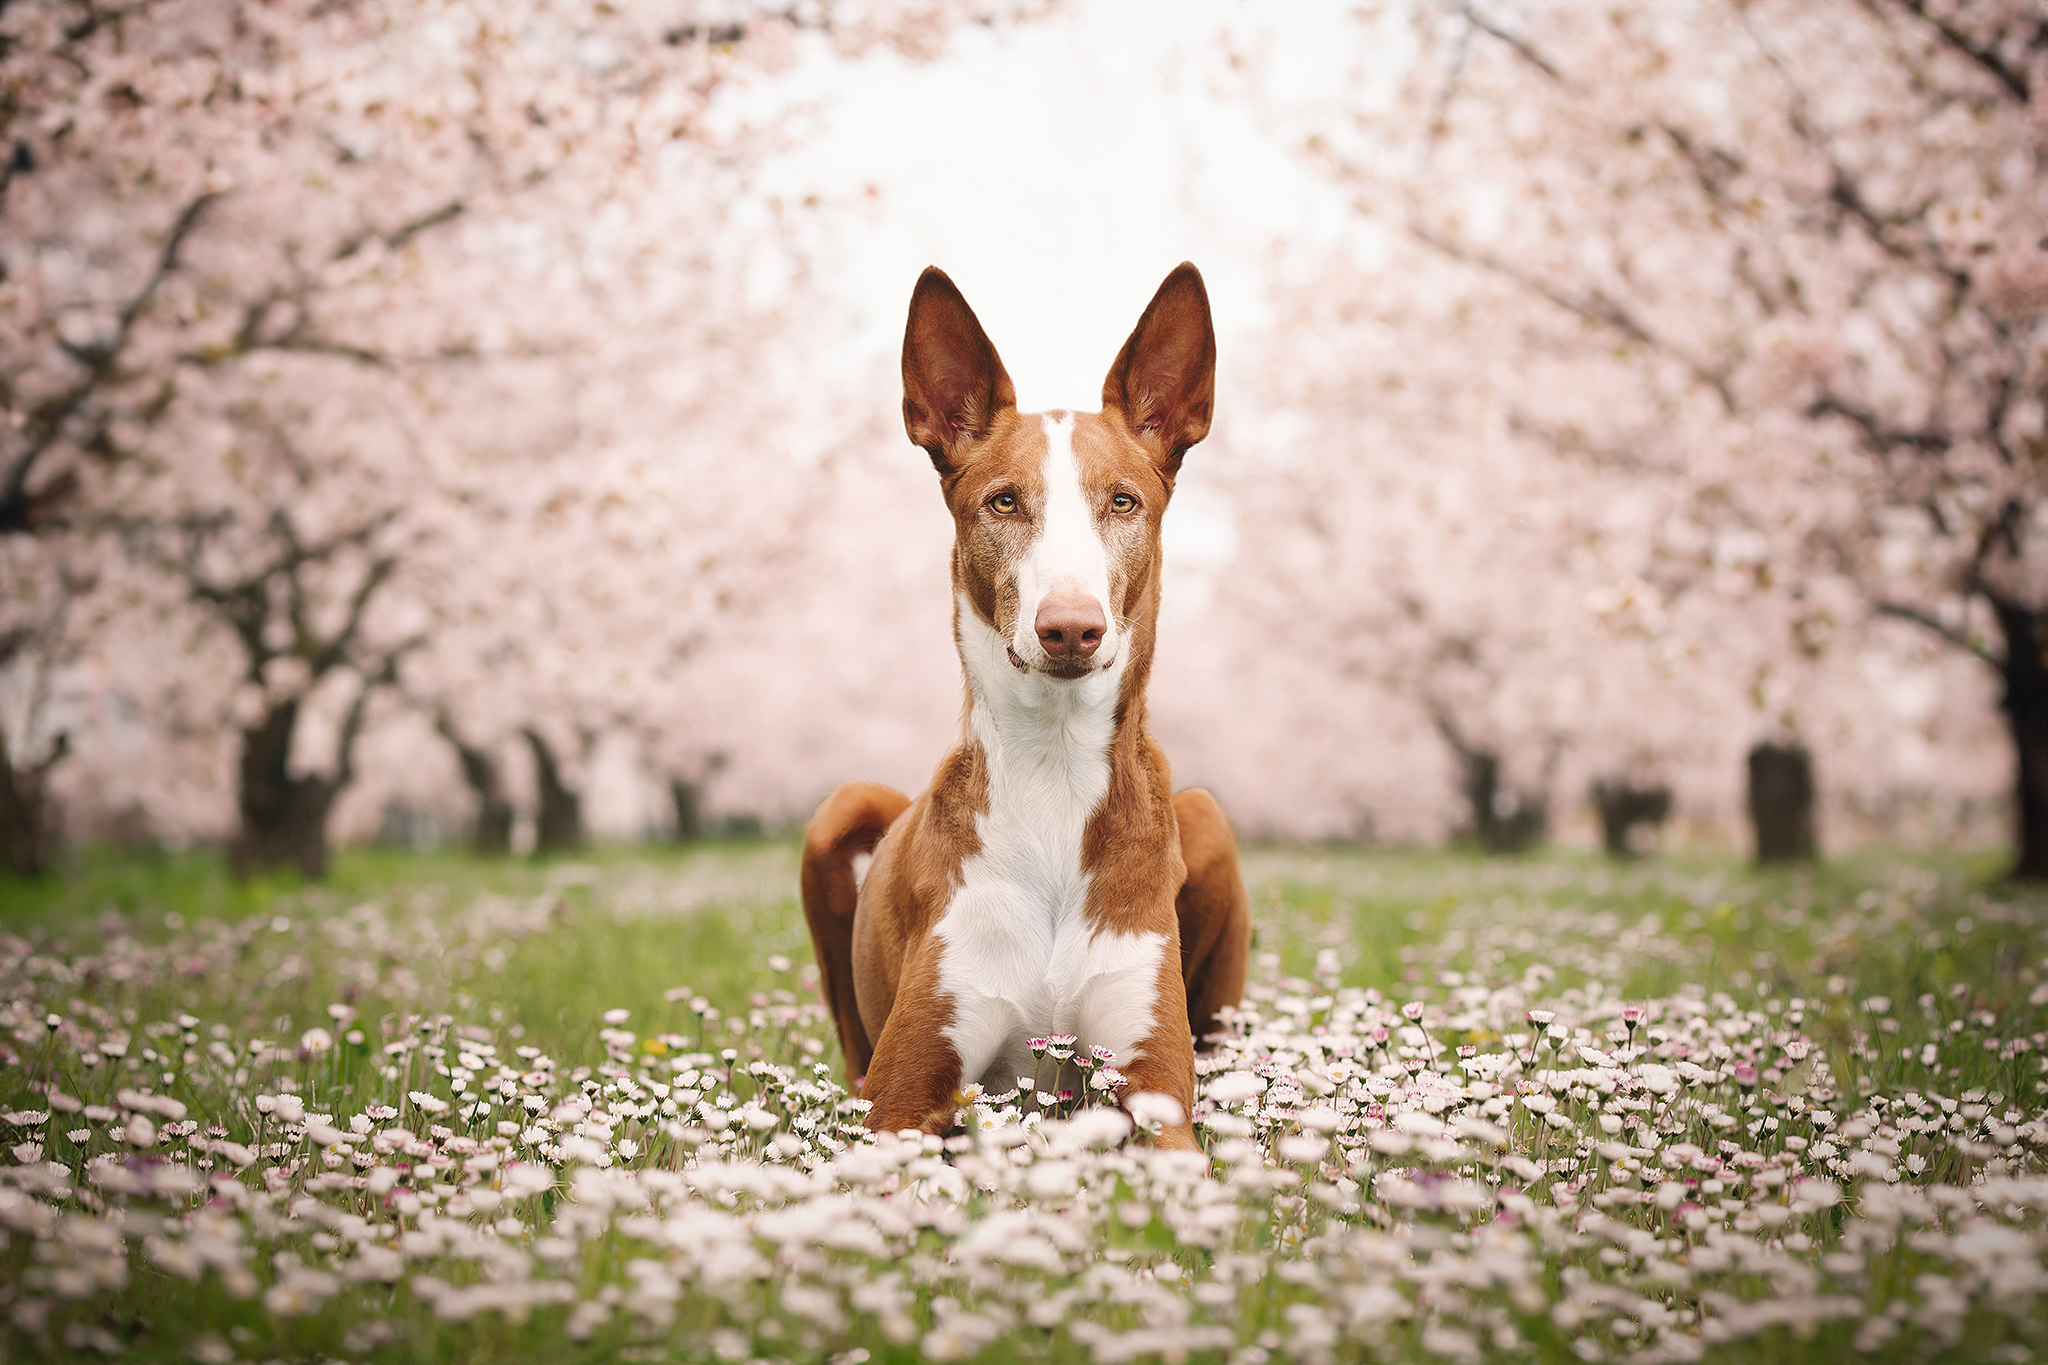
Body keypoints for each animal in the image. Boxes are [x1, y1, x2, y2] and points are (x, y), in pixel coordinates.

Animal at [794, 261, 1245, 1146]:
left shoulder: (1157, 1095)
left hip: (1207, 817)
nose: (1070, 626)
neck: (1054, 768)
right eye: (1004, 501)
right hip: (840, 811)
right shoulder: (902, 1101)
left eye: (1123, 501)